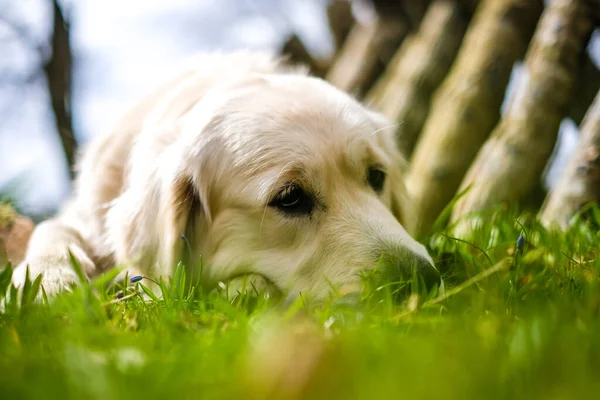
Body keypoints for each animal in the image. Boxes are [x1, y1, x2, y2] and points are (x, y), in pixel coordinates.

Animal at [11, 50, 438, 300]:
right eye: (290, 198)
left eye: (377, 177)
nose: (424, 280)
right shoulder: (84, 213)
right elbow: (50, 228)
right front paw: (49, 279)